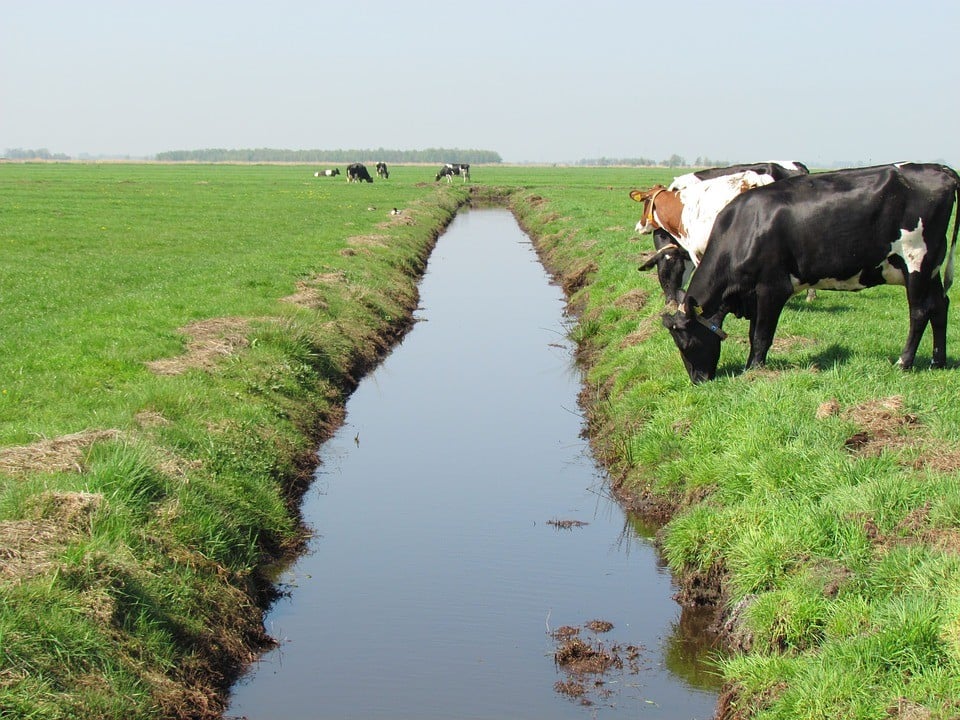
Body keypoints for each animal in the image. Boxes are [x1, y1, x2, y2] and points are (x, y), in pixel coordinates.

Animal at [660, 164, 960, 386]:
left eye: (686, 342)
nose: (698, 380)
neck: (746, 229)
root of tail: (940, 169)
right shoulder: (755, 295)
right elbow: (753, 332)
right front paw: (752, 365)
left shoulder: (772, 288)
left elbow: (761, 335)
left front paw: (753, 369)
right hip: (930, 268)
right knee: (939, 306)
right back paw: (938, 361)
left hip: (916, 262)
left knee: (920, 311)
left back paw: (904, 362)